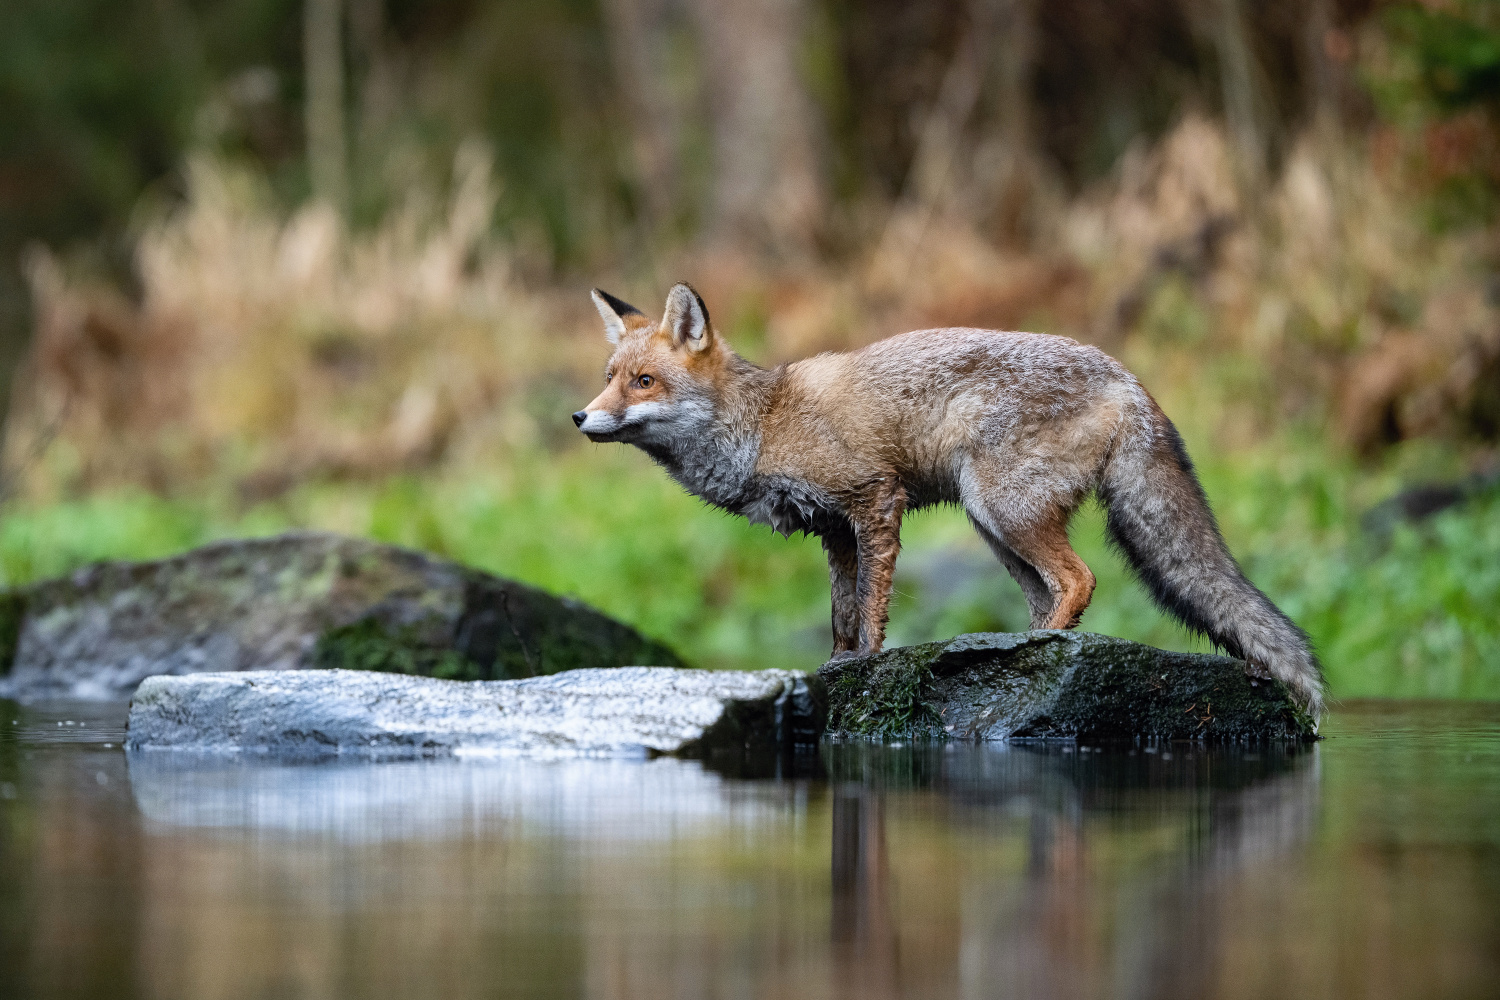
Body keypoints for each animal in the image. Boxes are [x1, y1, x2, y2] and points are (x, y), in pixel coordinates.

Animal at [573, 284, 1326, 716]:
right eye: (608, 377)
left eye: (643, 382)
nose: (580, 418)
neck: (763, 425)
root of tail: (1128, 377)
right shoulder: (833, 532)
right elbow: (841, 612)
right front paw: (835, 668)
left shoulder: (875, 499)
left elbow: (871, 608)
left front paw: (866, 664)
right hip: (993, 526)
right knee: (1051, 592)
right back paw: (1026, 650)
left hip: (1001, 508)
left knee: (1080, 579)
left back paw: (1043, 651)